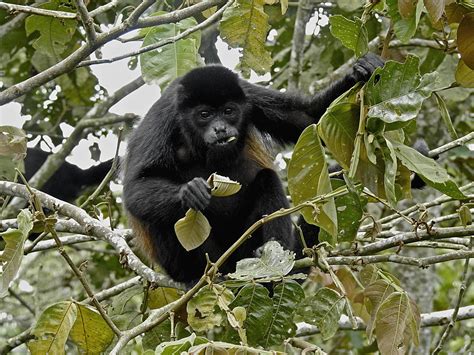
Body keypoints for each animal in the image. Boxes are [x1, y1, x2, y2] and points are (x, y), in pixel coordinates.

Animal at [123, 55, 386, 284]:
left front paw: (361, 71)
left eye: (229, 111)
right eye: (204, 114)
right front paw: (188, 192)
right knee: (166, 214)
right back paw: (194, 277)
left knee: (267, 179)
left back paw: (272, 258)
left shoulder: (248, 95)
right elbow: (136, 186)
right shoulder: (163, 117)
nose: (220, 128)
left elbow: (306, 118)